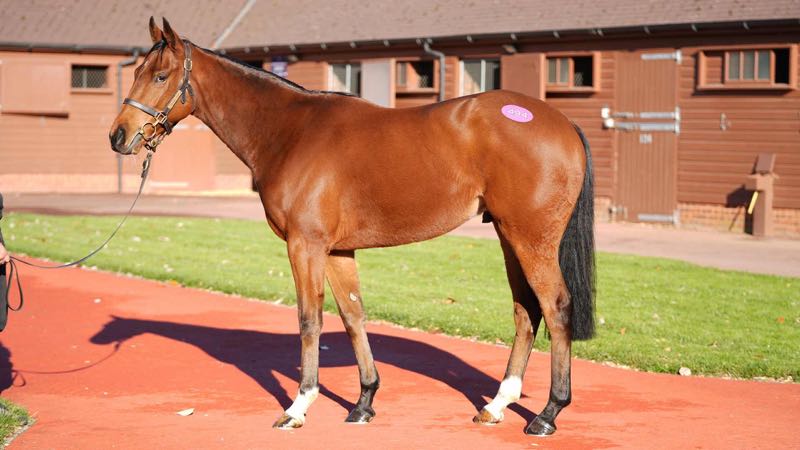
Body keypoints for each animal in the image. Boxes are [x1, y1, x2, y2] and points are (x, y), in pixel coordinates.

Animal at [109, 18, 595, 436]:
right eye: (136, 72)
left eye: (160, 76)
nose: (118, 136)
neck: (290, 132)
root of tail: (563, 121)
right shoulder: (337, 251)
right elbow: (352, 316)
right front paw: (364, 402)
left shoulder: (305, 245)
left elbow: (310, 320)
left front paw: (298, 406)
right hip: (508, 236)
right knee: (525, 311)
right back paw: (496, 405)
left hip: (531, 238)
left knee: (555, 307)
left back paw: (548, 413)